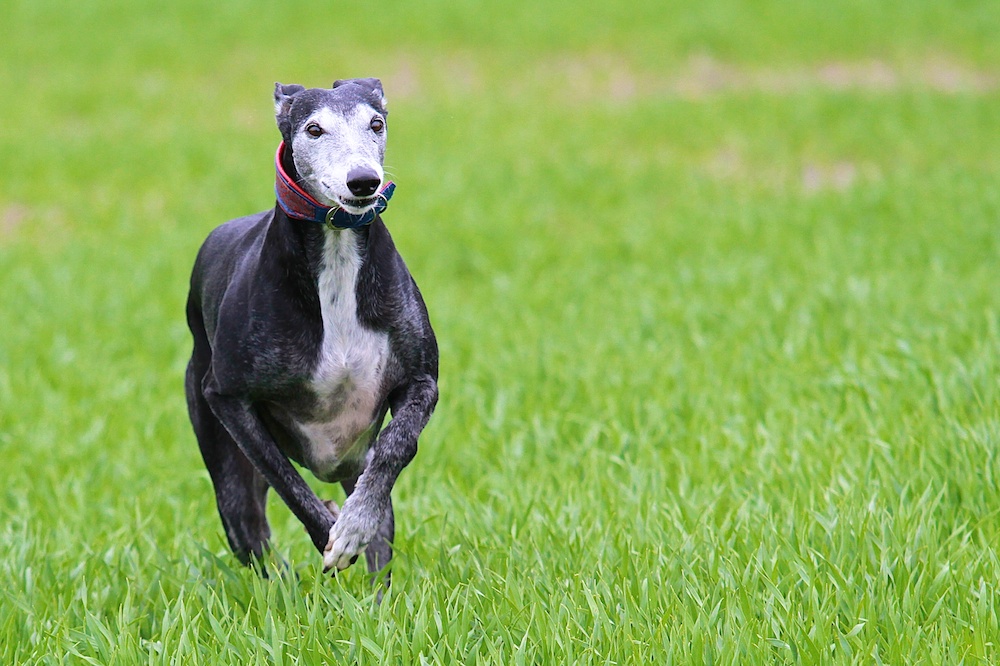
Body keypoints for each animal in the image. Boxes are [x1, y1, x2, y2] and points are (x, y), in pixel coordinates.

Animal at [186, 79, 440, 580]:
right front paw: (331, 531)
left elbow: (397, 446)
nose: (363, 181)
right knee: (255, 541)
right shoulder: (226, 398)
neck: (336, 246)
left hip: (354, 464)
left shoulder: (421, 381)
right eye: (314, 129)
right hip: (227, 476)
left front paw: (354, 526)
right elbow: (285, 479)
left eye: (376, 123)